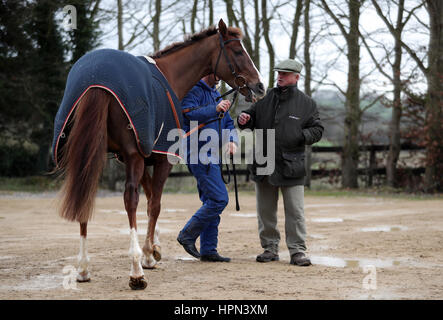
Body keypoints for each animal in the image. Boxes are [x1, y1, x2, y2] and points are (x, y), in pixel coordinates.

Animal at [55, 19, 264, 290]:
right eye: (238, 51)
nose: (259, 86)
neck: (169, 75)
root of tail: (96, 81)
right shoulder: (159, 157)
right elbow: (154, 203)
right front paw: (147, 255)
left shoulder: (144, 156)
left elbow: (150, 199)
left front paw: (153, 248)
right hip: (129, 156)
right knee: (130, 200)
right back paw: (135, 272)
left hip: (90, 152)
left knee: (85, 195)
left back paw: (83, 268)